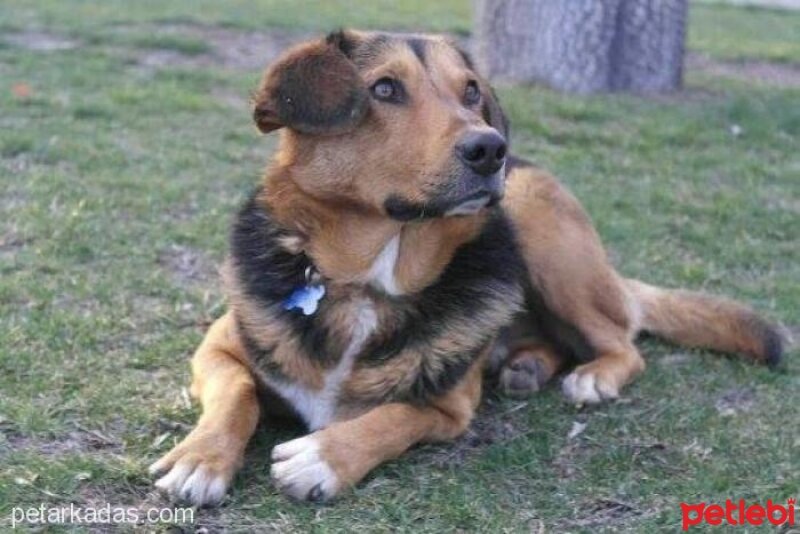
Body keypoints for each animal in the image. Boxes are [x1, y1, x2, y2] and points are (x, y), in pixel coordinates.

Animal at [147, 29, 784, 506]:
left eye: (471, 92)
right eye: (384, 88)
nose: (490, 150)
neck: (369, 281)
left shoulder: (448, 410)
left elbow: (390, 418)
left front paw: (322, 457)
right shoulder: (218, 347)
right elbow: (237, 393)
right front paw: (201, 459)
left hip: (541, 232)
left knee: (623, 344)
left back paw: (592, 376)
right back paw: (526, 364)